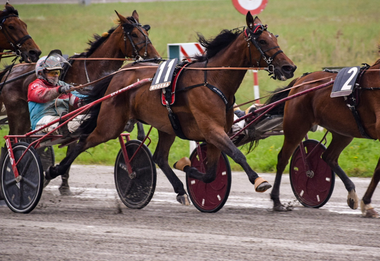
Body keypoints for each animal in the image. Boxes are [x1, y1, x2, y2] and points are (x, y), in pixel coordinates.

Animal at [0, 9, 160, 193]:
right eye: (134, 34)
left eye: (146, 33)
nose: (156, 58)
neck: (92, 69)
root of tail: (10, 72)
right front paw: (60, 178)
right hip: (17, 113)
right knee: (13, 142)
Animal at [46, 12, 296, 205]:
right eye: (262, 41)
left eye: (274, 37)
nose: (289, 67)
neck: (213, 80)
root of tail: (119, 74)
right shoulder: (212, 129)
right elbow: (237, 154)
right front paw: (259, 180)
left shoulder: (215, 132)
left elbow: (210, 173)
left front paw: (187, 167)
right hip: (111, 124)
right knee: (83, 142)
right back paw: (53, 171)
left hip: (166, 126)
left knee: (159, 158)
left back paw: (179, 189)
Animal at [272, 60, 380, 216]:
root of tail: (301, 80)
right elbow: (378, 171)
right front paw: (367, 204)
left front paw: (367, 204)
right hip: (296, 126)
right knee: (283, 159)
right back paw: (276, 201)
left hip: (343, 132)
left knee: (328, 157)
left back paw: (351, 194)